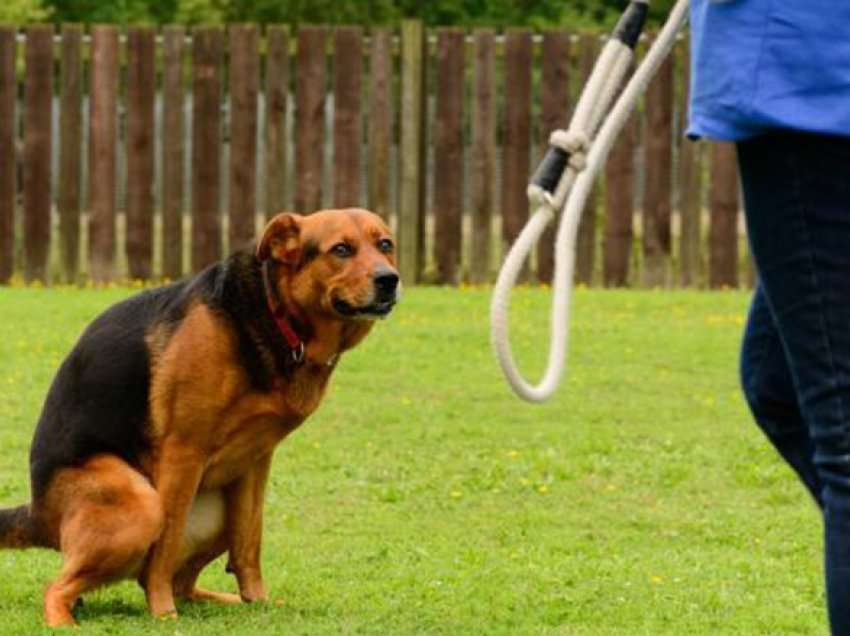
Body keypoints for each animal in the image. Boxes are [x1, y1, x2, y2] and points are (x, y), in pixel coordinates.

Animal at [0, 209, 398, 628]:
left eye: (385, 244)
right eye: (341, 249)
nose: (389, 280)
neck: (274, 312)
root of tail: (37, 513)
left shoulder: (256, 460)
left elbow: (249, 543)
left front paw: (258, 602)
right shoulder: (183, 453)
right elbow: (163, 551)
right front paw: (162, 613)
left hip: (216, 517)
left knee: (184, 583)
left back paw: (227, 601)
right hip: (142, 506)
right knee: (61, 587)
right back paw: (66, 621)